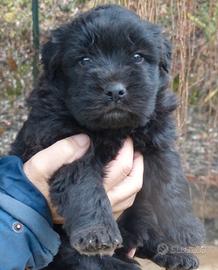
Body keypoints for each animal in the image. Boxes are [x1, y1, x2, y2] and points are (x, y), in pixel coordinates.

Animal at [11, 4, 204, 270]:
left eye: (137, 57)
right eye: (84, 60)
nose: (115, 91)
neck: (114, 128)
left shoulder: (159, 143)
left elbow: (171, 183)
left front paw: (185, 227)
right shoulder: (67, 146)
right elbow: (86, 188)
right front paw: (97, 232)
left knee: (145, 235)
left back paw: (173, 253)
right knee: (79, 258)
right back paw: (121, 264)